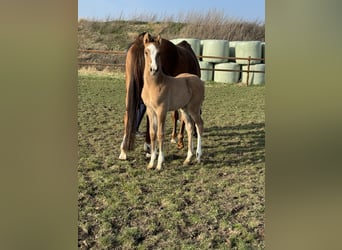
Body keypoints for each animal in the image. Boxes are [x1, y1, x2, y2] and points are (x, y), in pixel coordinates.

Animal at [119, 32, 200, 160]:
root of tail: (140, 42)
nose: (196, 134)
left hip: (130, 88)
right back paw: (149, 148)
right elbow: (180, 117)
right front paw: (179, 141)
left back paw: (124, 150)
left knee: (128, 113)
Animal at [141, 32, 203, 170]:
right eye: (146, 52)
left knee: (199, 125)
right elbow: (152, 133)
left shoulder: (161, 111)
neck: (154, 85)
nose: (153, 69)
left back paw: (198, 157)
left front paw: (159, 163)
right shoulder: (150, 110)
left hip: (194, 108)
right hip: (184, 109)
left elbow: (160, 134)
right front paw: (151, 163)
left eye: (159, 53)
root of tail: (199, 80)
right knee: (190, 128)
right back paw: (188, 159)